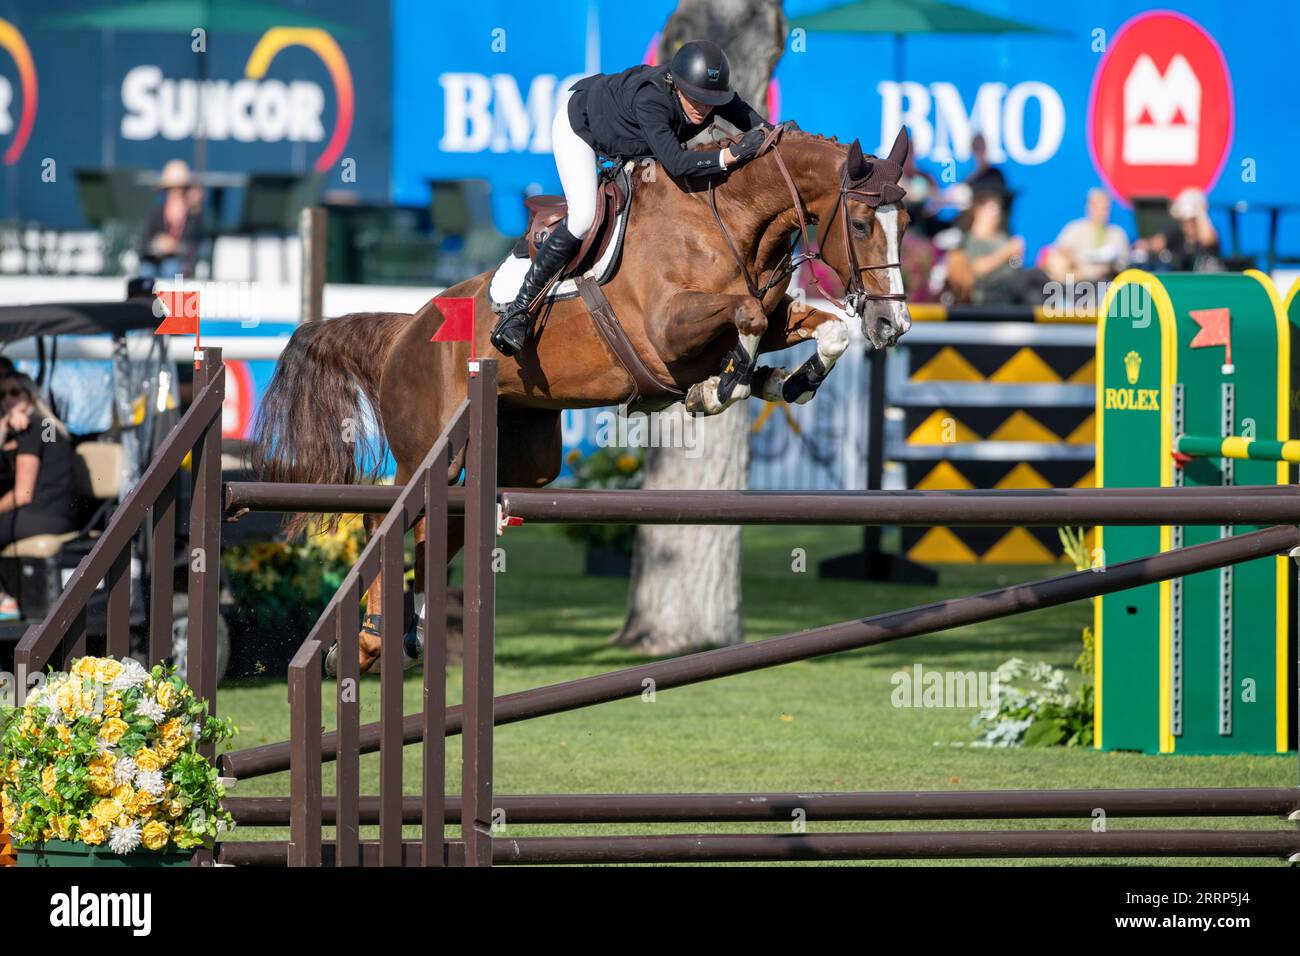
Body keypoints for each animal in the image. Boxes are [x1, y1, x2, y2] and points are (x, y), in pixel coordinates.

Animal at [253, 130, 915, 676]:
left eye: (906, 223)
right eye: (861, 224)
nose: (894, 325)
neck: (729, 219)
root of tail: (405, 329)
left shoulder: (771, 318)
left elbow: (826, 329)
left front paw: (784, 382)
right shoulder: (667, 332)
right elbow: (746, 317)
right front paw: (723, 388)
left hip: (524, 461)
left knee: (441, 526)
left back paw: (391, 639)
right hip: (429, 449)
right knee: (381, 519)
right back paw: (368, 640)